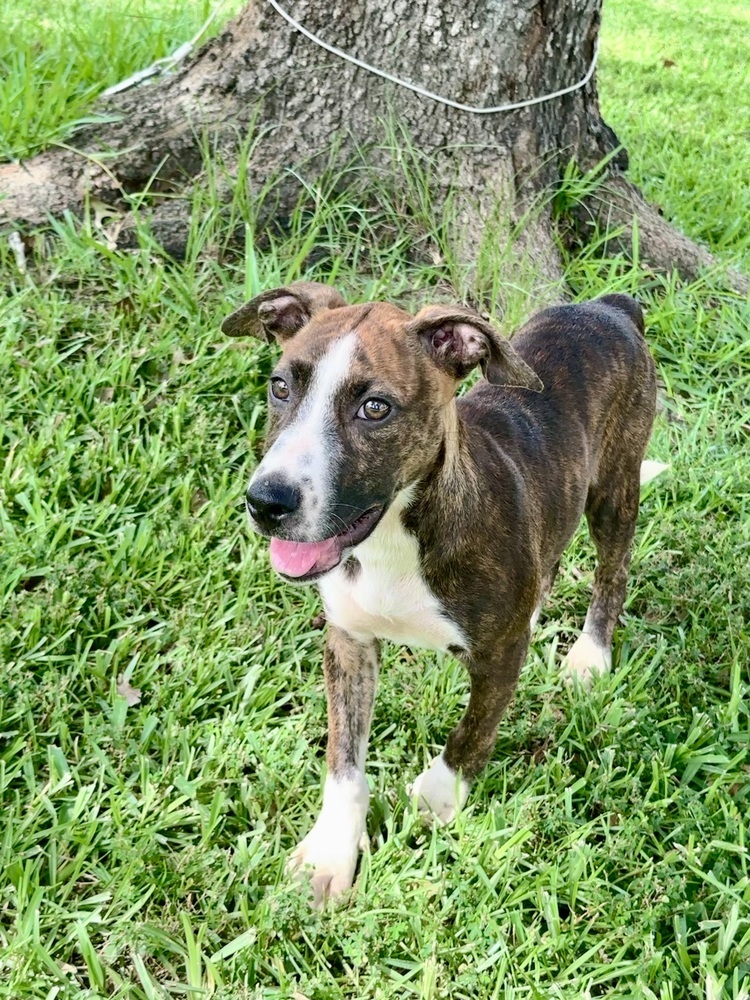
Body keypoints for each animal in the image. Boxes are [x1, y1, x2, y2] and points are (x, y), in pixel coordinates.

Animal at [223, 282, 656, 908]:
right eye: (281, 386)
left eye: (375, 408)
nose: (267, 502)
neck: (393, 539)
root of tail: (608, 307)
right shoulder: (348, 642)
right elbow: (343, 760)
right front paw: (330, 853)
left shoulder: (498, 655)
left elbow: (473, 730)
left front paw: (438, 797)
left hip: (617, 486)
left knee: (612, 572)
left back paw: (590, 656)